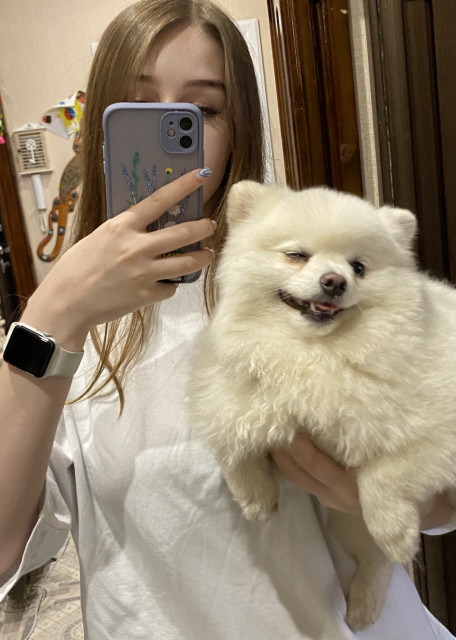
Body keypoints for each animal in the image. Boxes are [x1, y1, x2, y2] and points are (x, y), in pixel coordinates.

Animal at [189, 181, 456, 630]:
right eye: (296, 255)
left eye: (359, 267)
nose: (334, 281)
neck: (315, 354)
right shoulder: (234, 388)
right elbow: (234, 435)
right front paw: (256, 497)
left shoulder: (437, 431)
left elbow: (384, 477)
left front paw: (396, 530)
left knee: (378, 558)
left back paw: (367, 601)